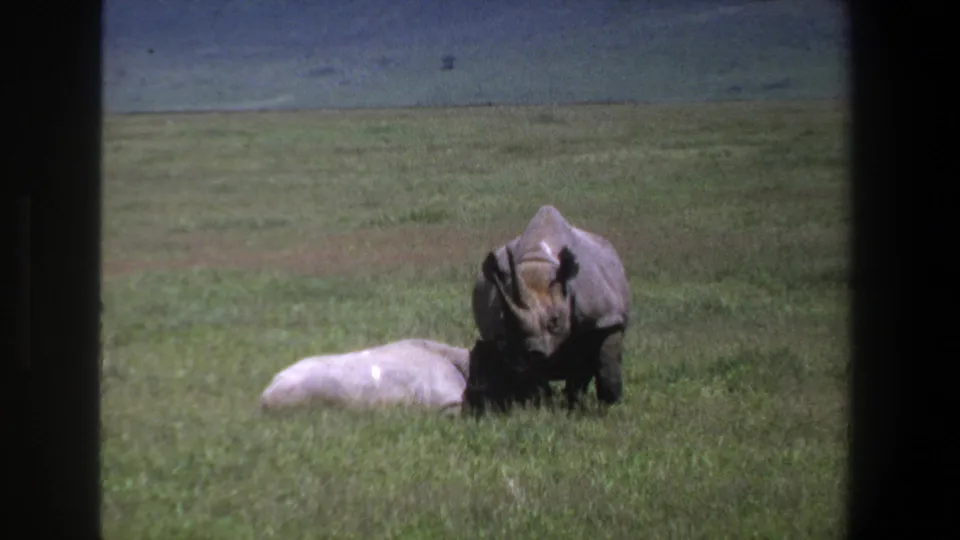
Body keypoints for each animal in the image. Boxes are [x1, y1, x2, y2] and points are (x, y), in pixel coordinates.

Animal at [466, 205, 631, 412]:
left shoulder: (605, 317)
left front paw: (609, 406)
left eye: (555, 321)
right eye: (508, 324)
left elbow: (605, 361)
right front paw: (535, 406)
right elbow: (525, 373)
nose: (534, 351)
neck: (538, 262)